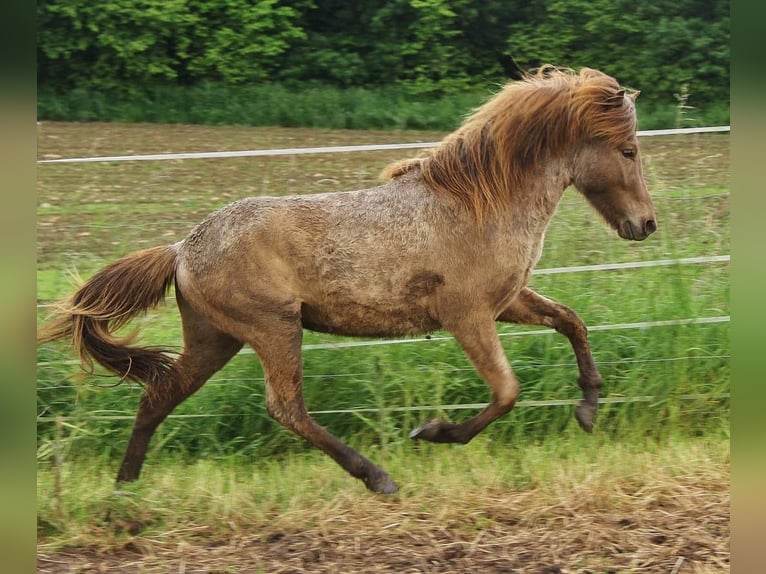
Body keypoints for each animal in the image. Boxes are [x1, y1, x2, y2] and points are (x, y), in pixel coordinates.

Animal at [39, 66, 656, 496]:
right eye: (628, 150)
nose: (646, 224)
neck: (479, 204)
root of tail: (181, 249)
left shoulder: (508, 302)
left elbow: (571, 322)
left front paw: (588, 409)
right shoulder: (468, 315)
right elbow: (507, 391)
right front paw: (433, 433)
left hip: (216, 339)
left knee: (159, 395)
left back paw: (125, 491)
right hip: (273, 329)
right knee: (285, 408)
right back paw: (377, 476)